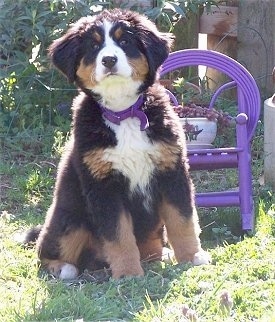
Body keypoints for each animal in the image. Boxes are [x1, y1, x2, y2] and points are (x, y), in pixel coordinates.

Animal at [26, 7, 211, 280]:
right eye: (94, 46)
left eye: (124, 42)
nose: (109, 60)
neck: (123, 113)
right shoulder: (103, 185)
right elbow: (119, 235)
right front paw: (128, 273)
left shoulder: (172, 170)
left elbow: (182, 220)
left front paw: (192, 257)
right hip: (71, 218)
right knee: (46, 251)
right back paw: (63, 268)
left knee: (150, 243)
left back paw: (160, 255)